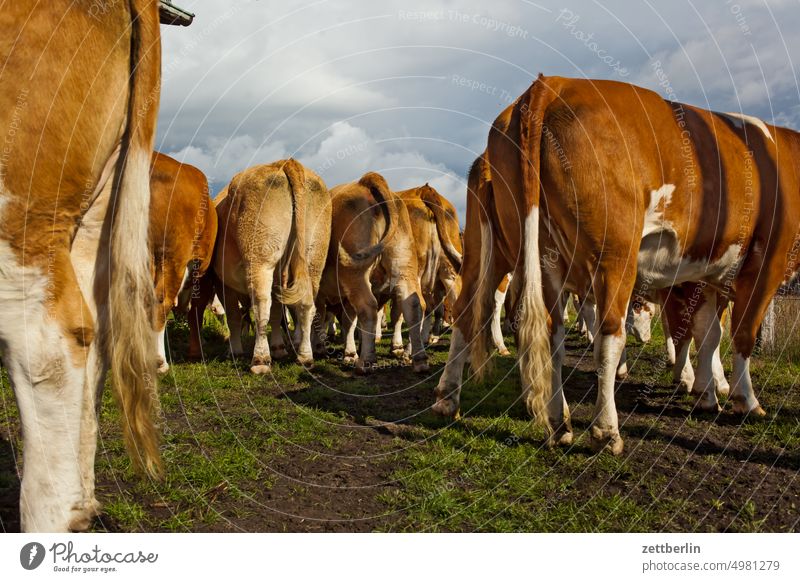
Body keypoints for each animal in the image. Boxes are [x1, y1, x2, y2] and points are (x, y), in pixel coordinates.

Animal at [148, 153, 217, 374]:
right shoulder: (201, 270)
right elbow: (195, 313)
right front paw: (196, 352)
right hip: (171, 257)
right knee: (160, 301)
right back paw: (159, 362)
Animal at [212, 160, 332, 374]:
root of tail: (284, 163)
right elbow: (277, 313)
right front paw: (278, 348)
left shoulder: (222, 282)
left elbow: (234, 316)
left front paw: (234, 350)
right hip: (314, 258)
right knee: (308, 305)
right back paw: (305, 356)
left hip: (260, 260)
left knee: (261, 304)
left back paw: (260, 359)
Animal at [318, 171, 432, 376]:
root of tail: (366, 181)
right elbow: (347, 320)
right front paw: (350, 352)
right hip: (403, 264)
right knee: (412, 304)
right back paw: (419, 360)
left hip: (354, 273)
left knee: (367, 307)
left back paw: (366, 361)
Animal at [438, 74, 800, 456]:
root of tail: (551, 85)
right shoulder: (764, 266)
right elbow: (738, 333)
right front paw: (741, 398)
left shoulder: (704, 274)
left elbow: (708, 332)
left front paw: (706, 390)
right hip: (613, 256)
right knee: (607, 335)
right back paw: (605, 429)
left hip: (515, 252)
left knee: (508, 320)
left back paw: (476, 404)